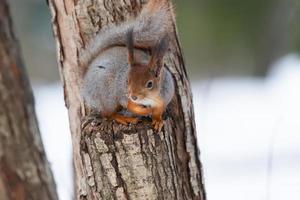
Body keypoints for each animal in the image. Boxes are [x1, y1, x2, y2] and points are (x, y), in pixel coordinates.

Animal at [81, 0, 175, 131]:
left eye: (150, 84)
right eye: (127, 80)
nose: (134, 96)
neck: (149, 98)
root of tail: (85, 79)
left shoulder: (164, 97)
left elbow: (158, 110)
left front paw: (157, 120)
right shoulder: (122, 93)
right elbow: (130, 105)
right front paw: (144, 111)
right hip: (106, 96)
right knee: (107, 114)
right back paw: (124, 118)